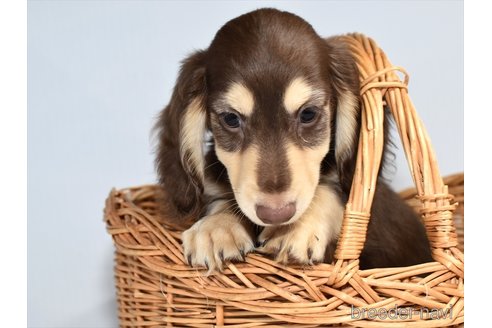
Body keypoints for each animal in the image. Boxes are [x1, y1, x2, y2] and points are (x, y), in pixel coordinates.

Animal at [153, 9, 430, 272]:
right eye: (231, 119)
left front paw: (297, 227)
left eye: (308, 114)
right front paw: (216, 227)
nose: (276, 214)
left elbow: (330, 191)